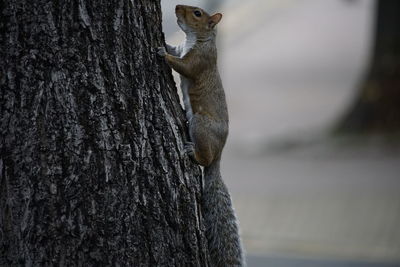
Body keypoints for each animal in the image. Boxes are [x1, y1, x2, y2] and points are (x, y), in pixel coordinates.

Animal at [158, 4, 245, 267]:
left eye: (197, 13)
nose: (177, 7)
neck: (196, 39)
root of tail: (219, 153)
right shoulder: (182, 48)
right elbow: (175, 50)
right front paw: (164, 43)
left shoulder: (200, 60)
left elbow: (184, 66)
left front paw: (161, 53)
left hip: (200, 126)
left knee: (204, 159)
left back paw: (192, 152)